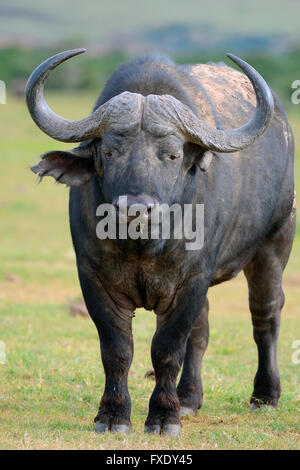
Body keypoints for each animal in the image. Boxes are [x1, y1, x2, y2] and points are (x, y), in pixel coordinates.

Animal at [25, 50, 296, 436]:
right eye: (109, 152)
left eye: (172, 155)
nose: (135, 208)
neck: (144, 244)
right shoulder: (93, 278)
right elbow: (117, 349)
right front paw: (113, 416)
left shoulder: (192, 280)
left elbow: (167, 349)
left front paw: (163, 418)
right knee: (201, 331)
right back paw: (188, 398)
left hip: (274, 245)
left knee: (266, 315)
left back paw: (265, 396)